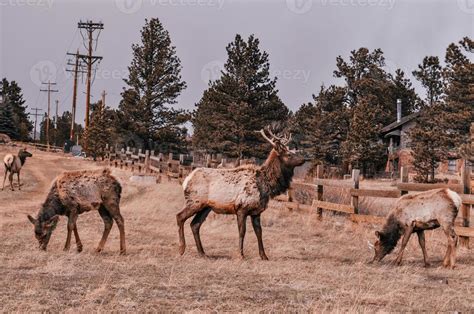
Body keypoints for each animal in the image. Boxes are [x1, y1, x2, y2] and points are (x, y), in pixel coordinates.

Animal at [176, 125, 306, 260]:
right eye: (289, 154)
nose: (304, 159)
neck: (265, 186)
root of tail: (186, 180)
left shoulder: (256, 211)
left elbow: (259, 232)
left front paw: (264, 256)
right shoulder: (241, 208)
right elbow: (242, 232)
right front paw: (240, 254)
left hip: (206, 207)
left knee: (195, 224)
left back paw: (202, 253)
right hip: (194, 201)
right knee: (180, 217)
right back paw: (181, 249)